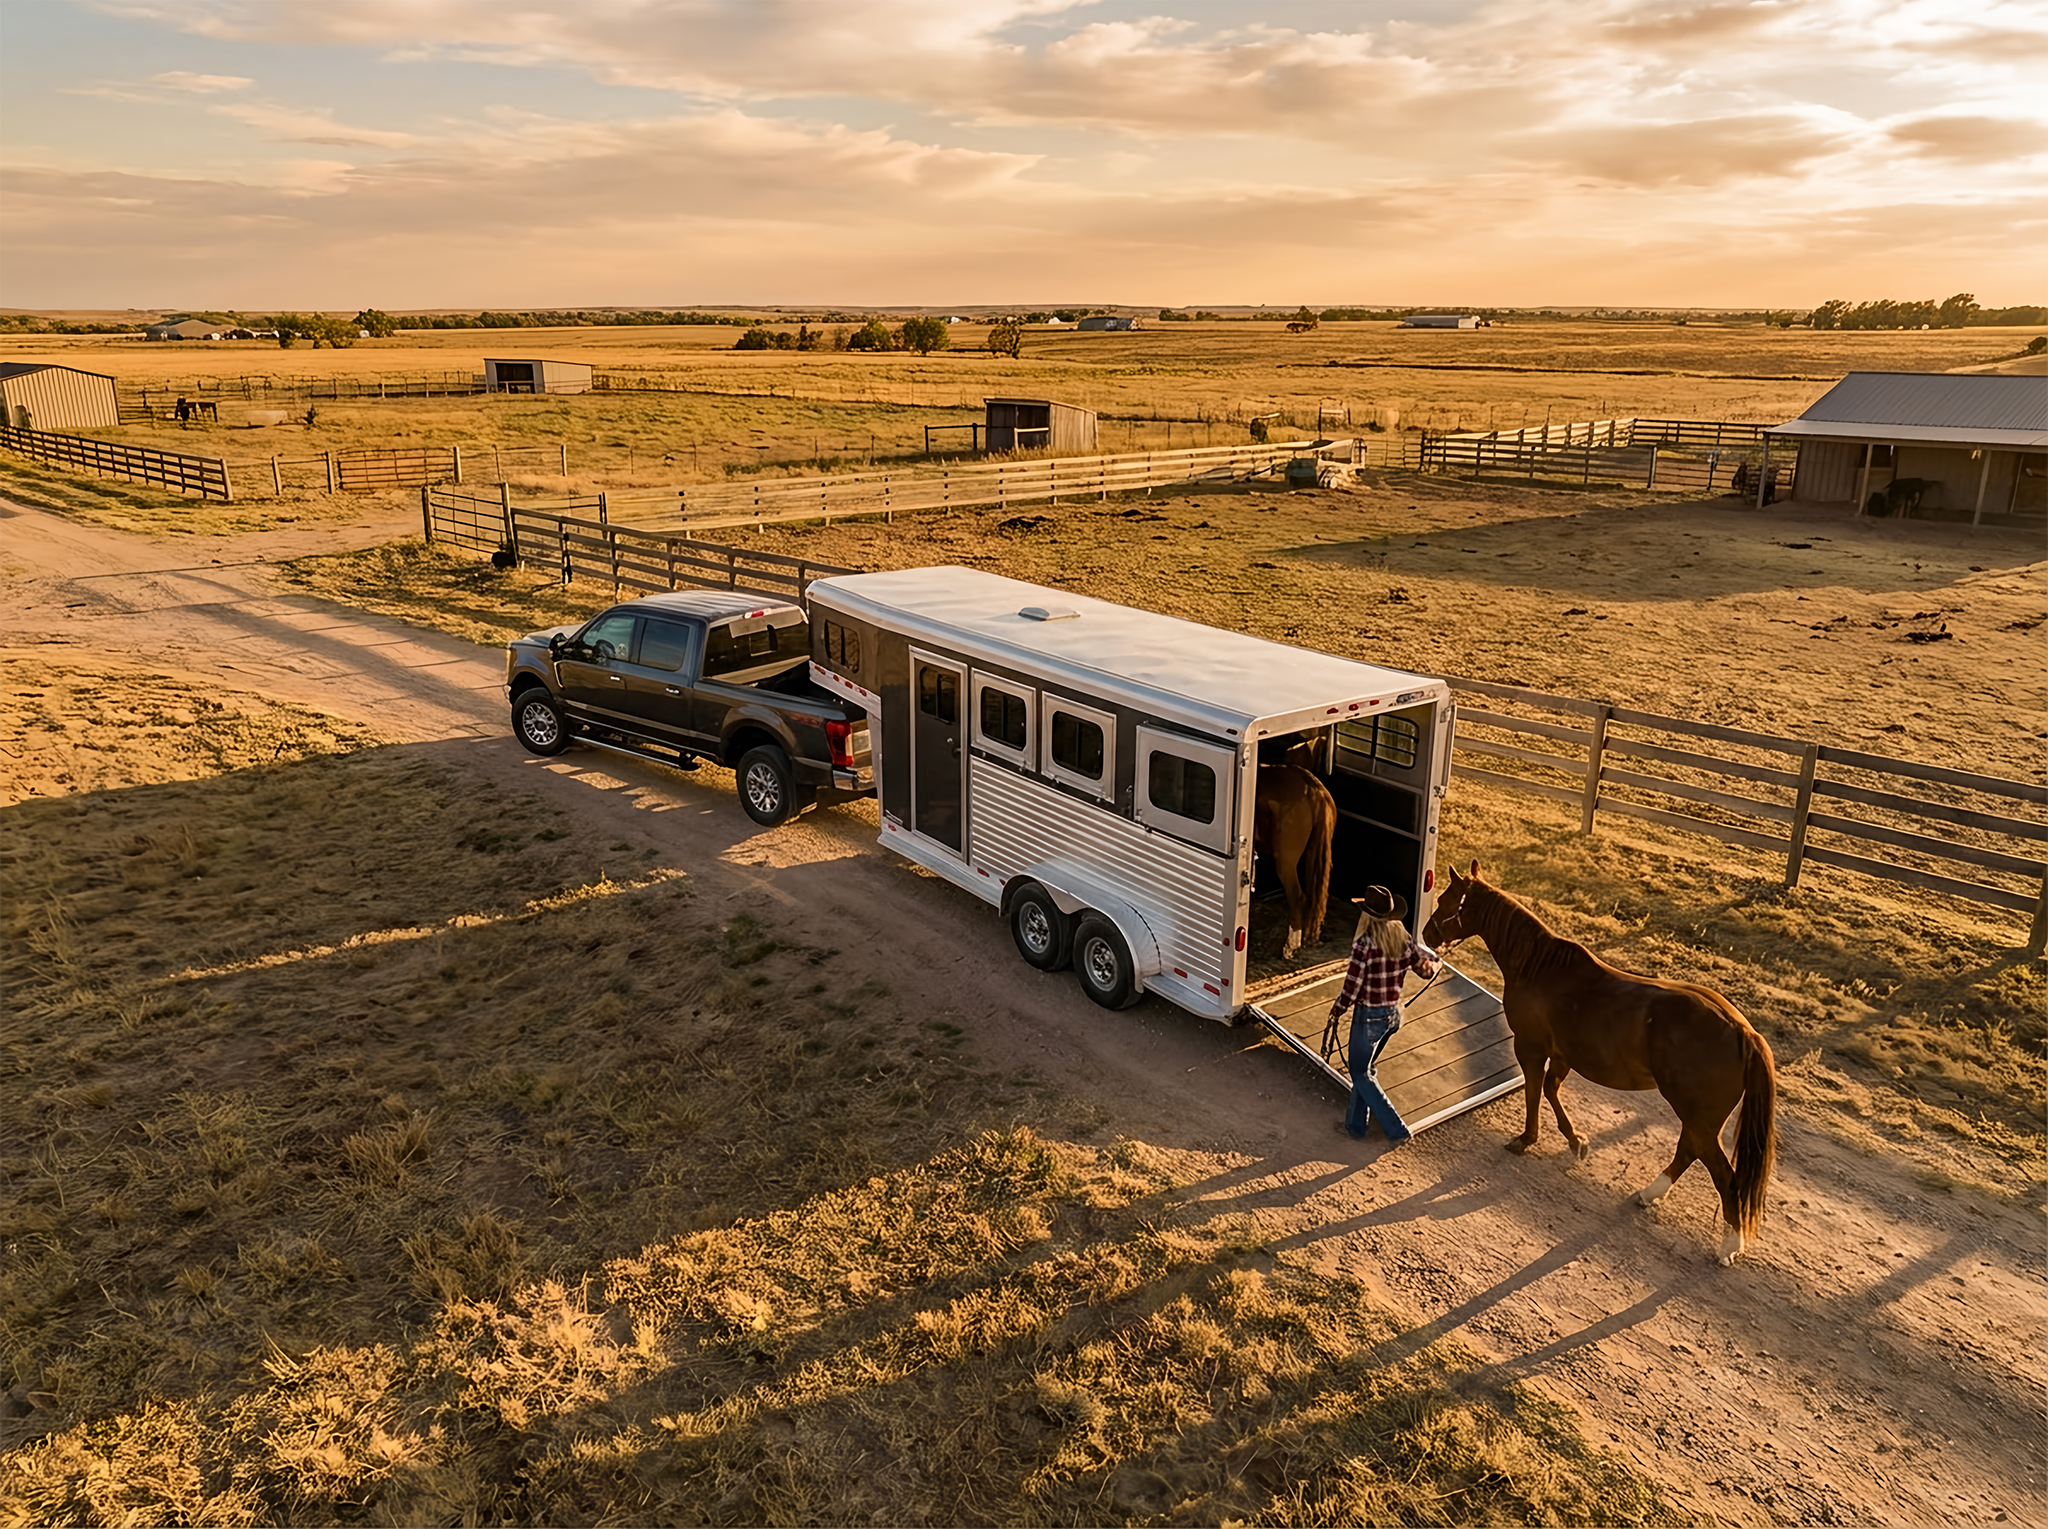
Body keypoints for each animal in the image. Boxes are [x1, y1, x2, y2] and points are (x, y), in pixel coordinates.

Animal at [1422, 861, 1776, 1265]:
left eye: (1446, 900)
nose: (1427, 934)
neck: (1538, 967)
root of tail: (1744, 1033)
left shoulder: (1531, 1048)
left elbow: (1533, 1093)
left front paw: (1527, 1139)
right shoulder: (1562, 1055)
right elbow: (1550, 1091)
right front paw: (1577, 1141)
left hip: (1699, 1117)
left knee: (1718, 1170)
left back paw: (1730, 1244)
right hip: (1698, 1119)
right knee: (1689, 1152)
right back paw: (1650, 1194)